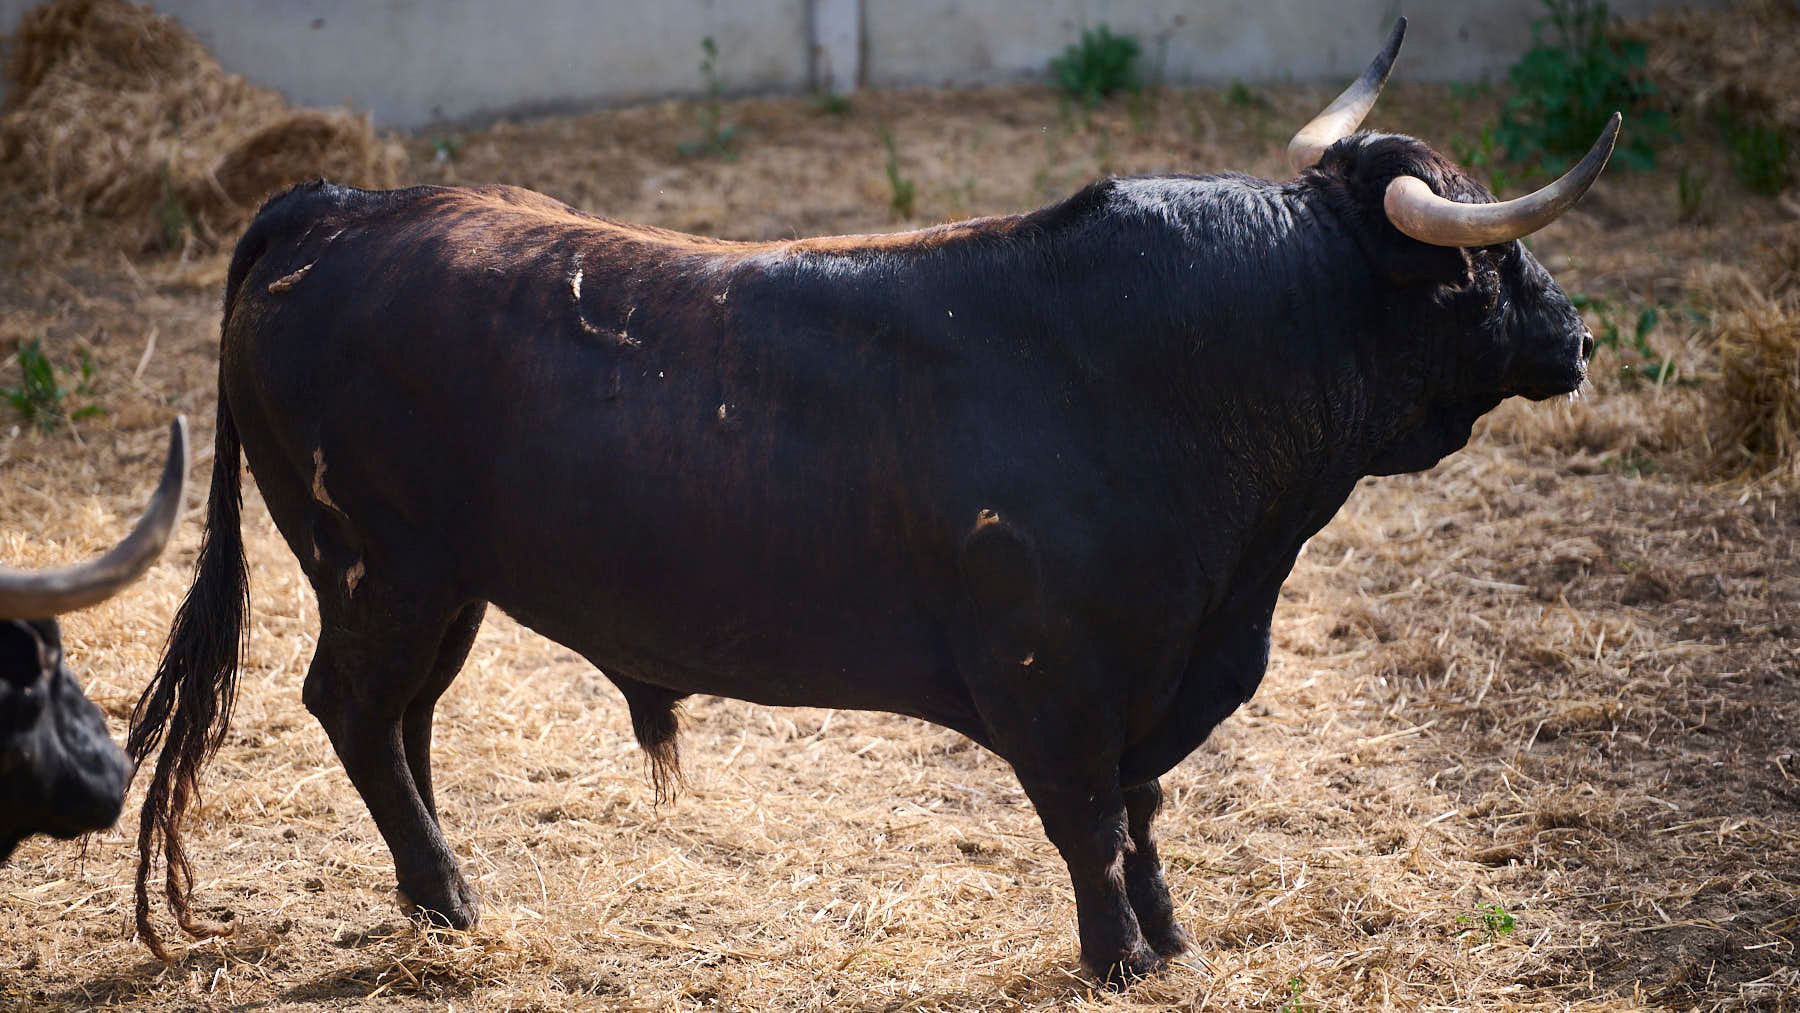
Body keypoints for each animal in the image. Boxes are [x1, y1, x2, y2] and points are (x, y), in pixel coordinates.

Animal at [126, 31, 1620, 986]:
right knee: (351, 708)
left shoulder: (1152, 673)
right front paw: (1118, 959)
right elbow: (1091, 822)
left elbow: (1143, 815)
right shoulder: (1054, 681)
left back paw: (433, 897)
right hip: (385, 572)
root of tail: (340, 203)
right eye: (1487, 271)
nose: (1578, 334)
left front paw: (1171, 936)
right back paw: (445, 891)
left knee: (402, 723)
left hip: (437, 590)